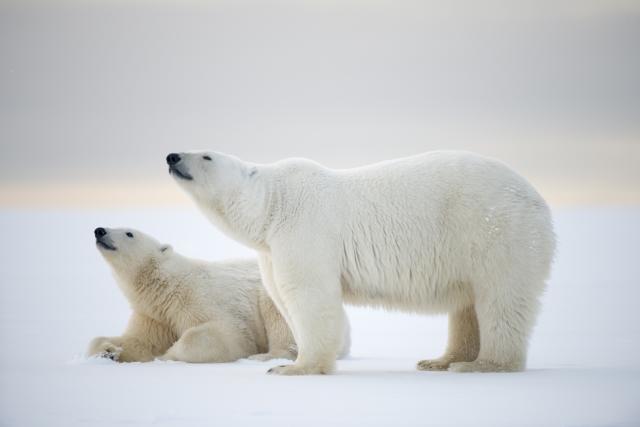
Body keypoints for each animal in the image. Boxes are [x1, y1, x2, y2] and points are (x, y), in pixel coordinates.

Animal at [88, 227, 350, 363]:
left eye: (129, 233)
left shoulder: (198, 296)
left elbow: (225, 334)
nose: (100, 230)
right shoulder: (154, 315)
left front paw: (168, 354)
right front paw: (108, 351)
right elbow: (139, 341)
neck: (166, 287)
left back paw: (265, 356)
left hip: (276, 293)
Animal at [166, 150, 555, 375]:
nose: (171, 156)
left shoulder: (305, 228)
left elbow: (309, 294)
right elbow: (283, 297)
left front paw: (296, 368)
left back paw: (485, 364)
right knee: (467, 304)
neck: (274, 204)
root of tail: (538, 199)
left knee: (501, 298)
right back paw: (440, 360)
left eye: (206, 156)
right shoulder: (271, 249)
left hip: (496, 232)